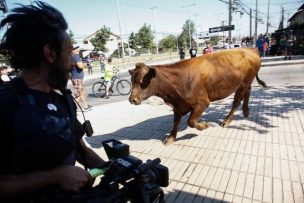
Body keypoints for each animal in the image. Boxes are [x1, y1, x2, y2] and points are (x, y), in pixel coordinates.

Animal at [128, 48, 266, 145]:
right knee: (247, 93)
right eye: (132, 81)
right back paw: (246, 111)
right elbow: (175, 123)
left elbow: (191, 121)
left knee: (237, 101)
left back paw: (227, 120)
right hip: (247, 82)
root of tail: (250, 49)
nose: (131, 99)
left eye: (143, 81)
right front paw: (171, 138)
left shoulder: (203, 102)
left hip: (243, 84)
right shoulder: (178, 106)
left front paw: (204, 125)